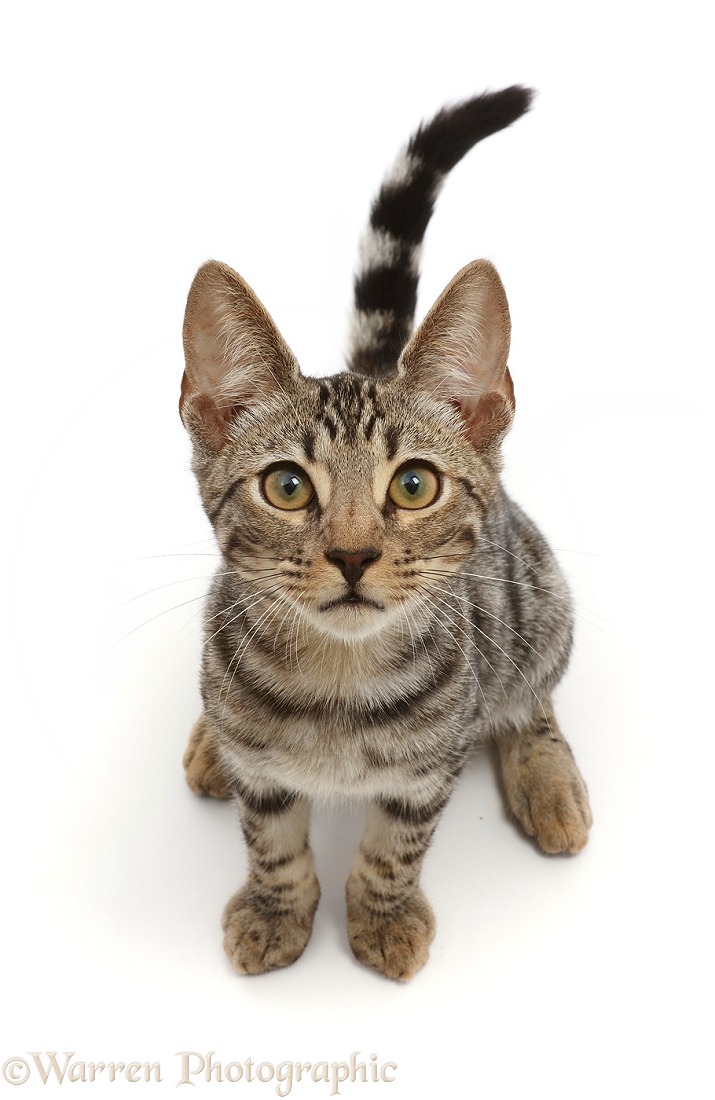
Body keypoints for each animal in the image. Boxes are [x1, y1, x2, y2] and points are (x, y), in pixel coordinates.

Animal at [177, 83, 589, 981]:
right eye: (287, 487)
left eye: (413, 485)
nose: (353, 553)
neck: (337, 677)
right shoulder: (264, 776)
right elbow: (271, 840)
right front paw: (275, 911)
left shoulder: (427, 771)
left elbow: (395, 849)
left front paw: (384, 916)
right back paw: (208, 743)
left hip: (539, 604)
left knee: (532, 697)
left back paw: (547, 776)